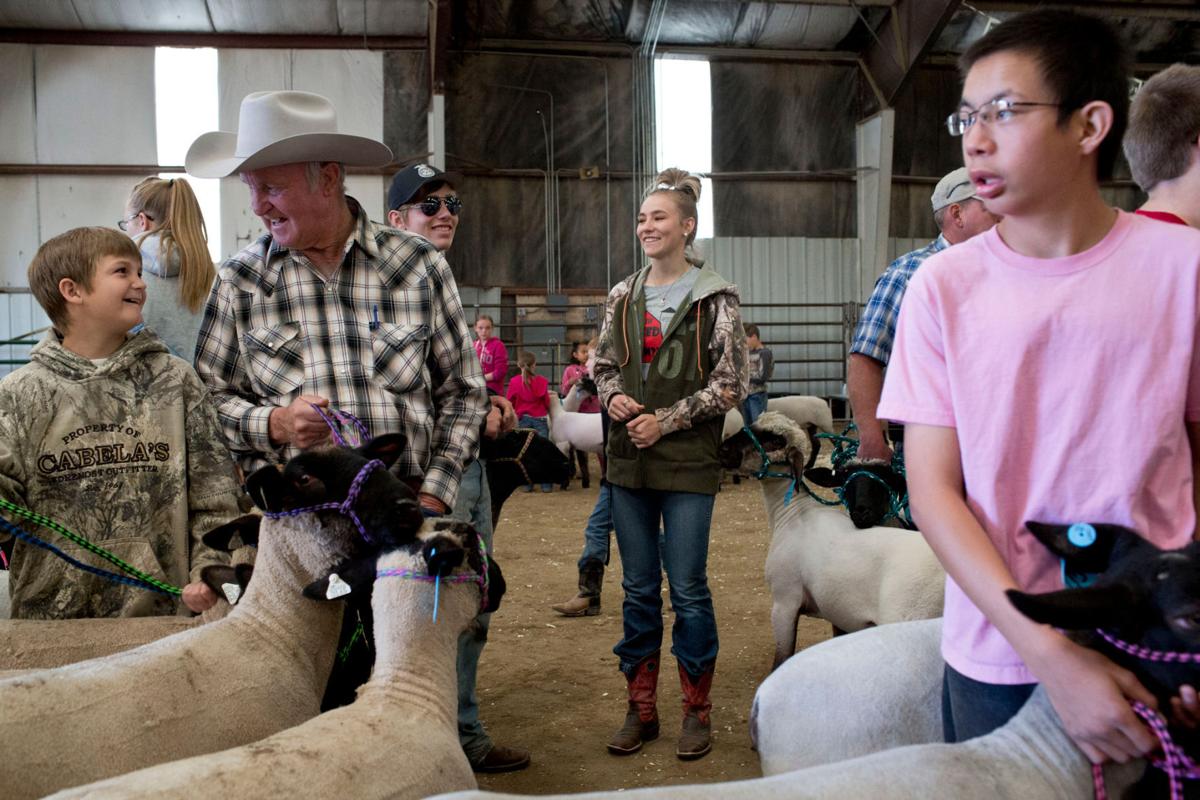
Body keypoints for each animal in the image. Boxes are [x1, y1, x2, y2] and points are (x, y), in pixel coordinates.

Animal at [715, 412, 940, 671]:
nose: (722, 449)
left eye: (774, 439)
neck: (793, 513)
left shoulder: (784, 601)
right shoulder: (836, 613)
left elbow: (781, 659)